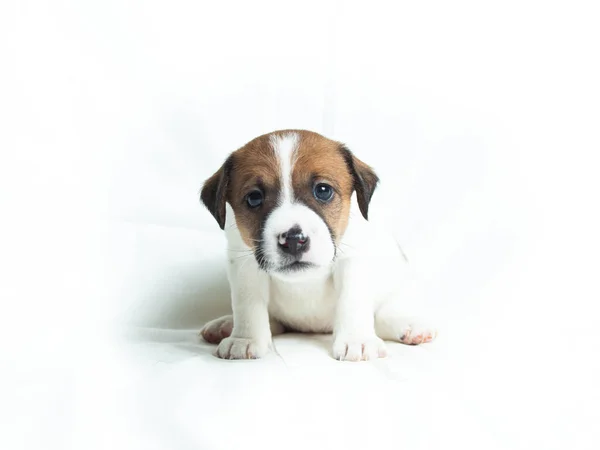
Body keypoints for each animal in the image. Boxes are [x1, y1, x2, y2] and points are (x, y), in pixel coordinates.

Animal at [200, 128, 436, 360]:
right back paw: (225, 324)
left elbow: (352, 302)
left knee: (383, 317)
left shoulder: (352, 262)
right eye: (254, 198)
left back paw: (409, 326)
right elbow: (247, 305)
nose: (294, 240)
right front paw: (244, 339)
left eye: (323, 190)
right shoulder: (244, 265)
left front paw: (356, 341)